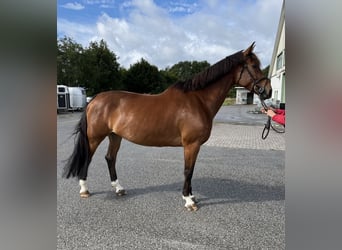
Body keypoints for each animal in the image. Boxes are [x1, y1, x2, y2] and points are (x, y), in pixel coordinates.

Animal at [62, 43, 272, 211]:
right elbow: (188, 171)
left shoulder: (193, 146)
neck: (198, 100)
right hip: (94, 137)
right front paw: (189, 201)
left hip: (115, 135)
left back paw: (119, 188)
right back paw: (84, 189)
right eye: (254, 66)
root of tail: (94, 99)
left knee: (110, 158)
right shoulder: (191, 145)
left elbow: (191, 171)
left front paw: (192, 196)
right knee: (88, 158)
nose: (268, 91)